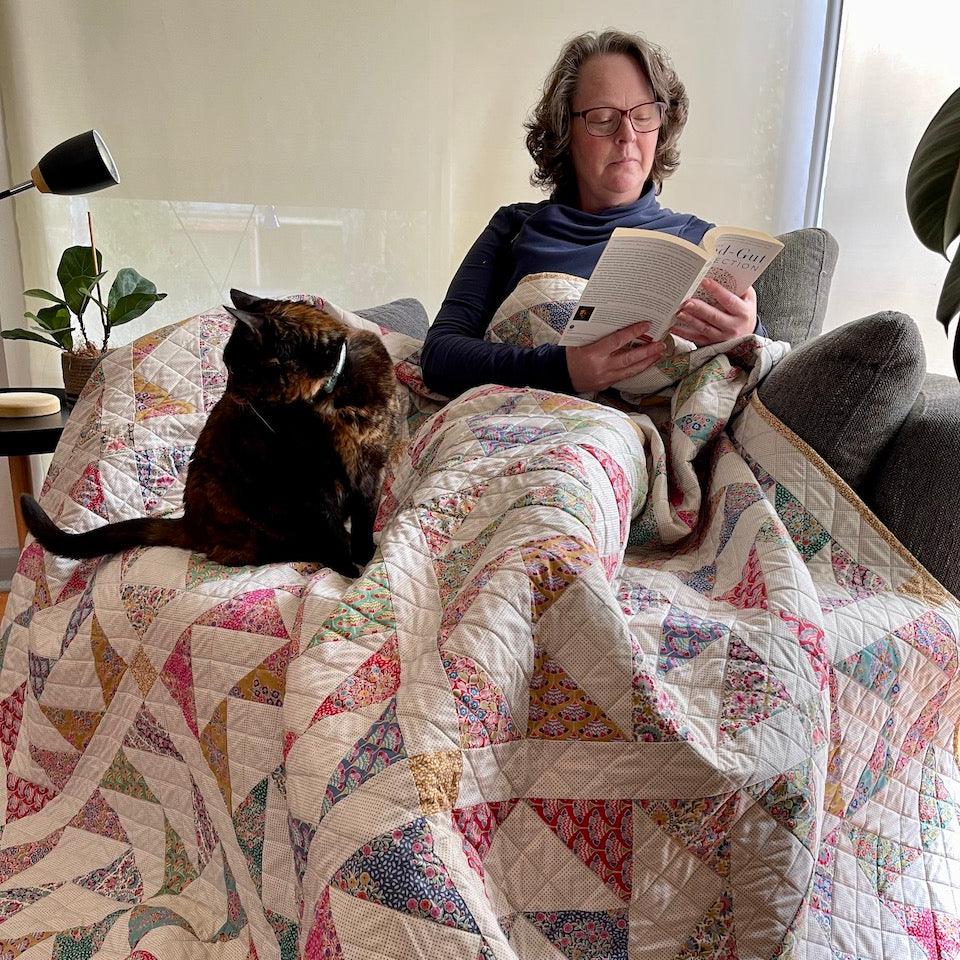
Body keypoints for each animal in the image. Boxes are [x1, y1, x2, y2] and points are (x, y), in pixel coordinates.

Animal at [19, 288, 402, 576]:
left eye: (238, 367)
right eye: (227, 366)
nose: (227, 392)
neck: (334, 394)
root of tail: (190, 520)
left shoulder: (371, 470)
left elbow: (365, 520)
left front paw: (365, 555)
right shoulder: (315, 485)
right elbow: (332, 532)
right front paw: (348, 569)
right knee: (250, 552)